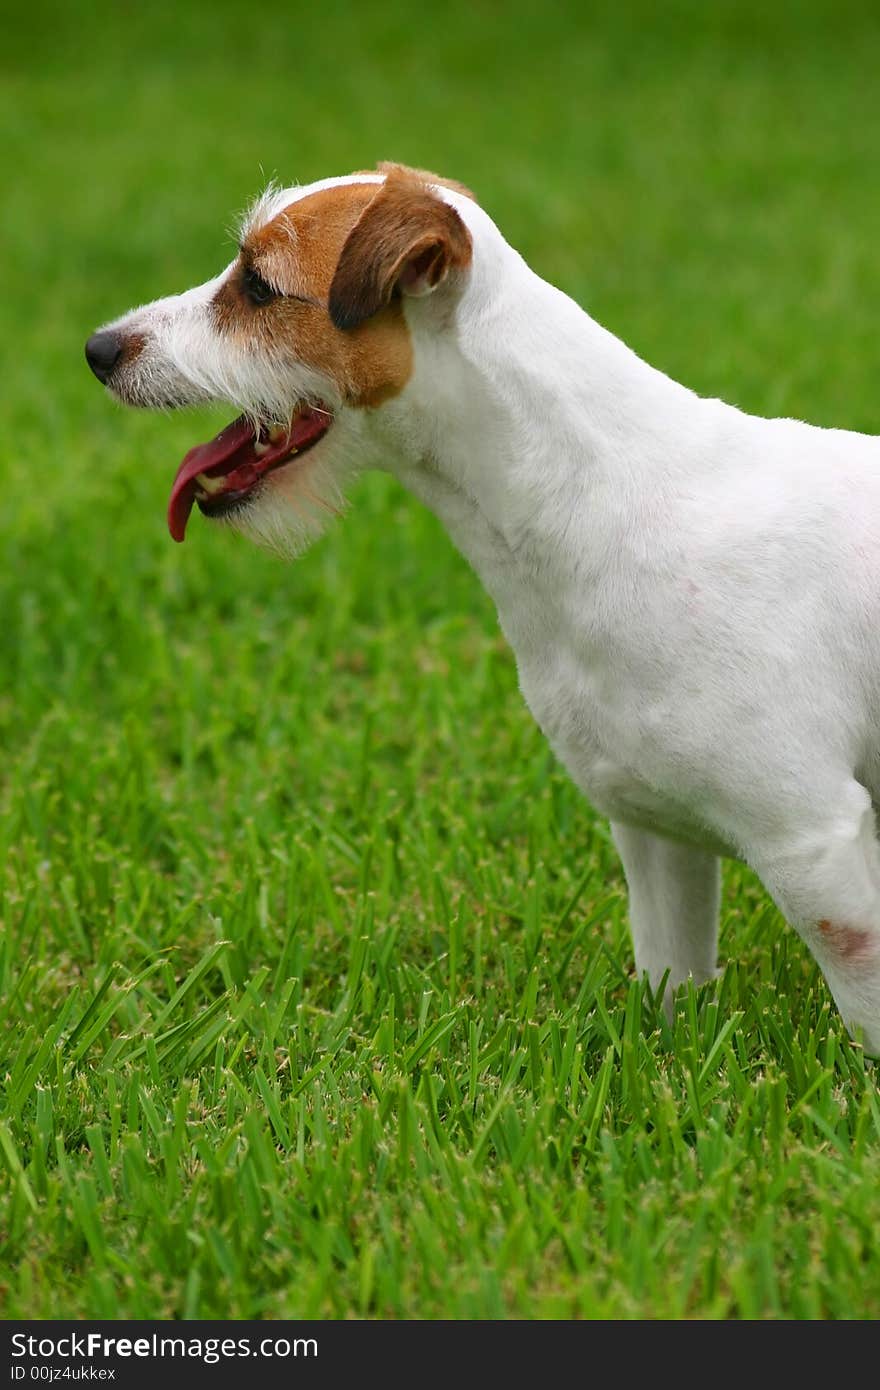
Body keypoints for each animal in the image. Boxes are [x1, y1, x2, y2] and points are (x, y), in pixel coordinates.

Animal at [85, 162, 878, 1050]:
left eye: (258, 287)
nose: (98, 350)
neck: (604, 499)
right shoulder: (655, 834)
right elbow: (671, 986)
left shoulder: (814, 846)